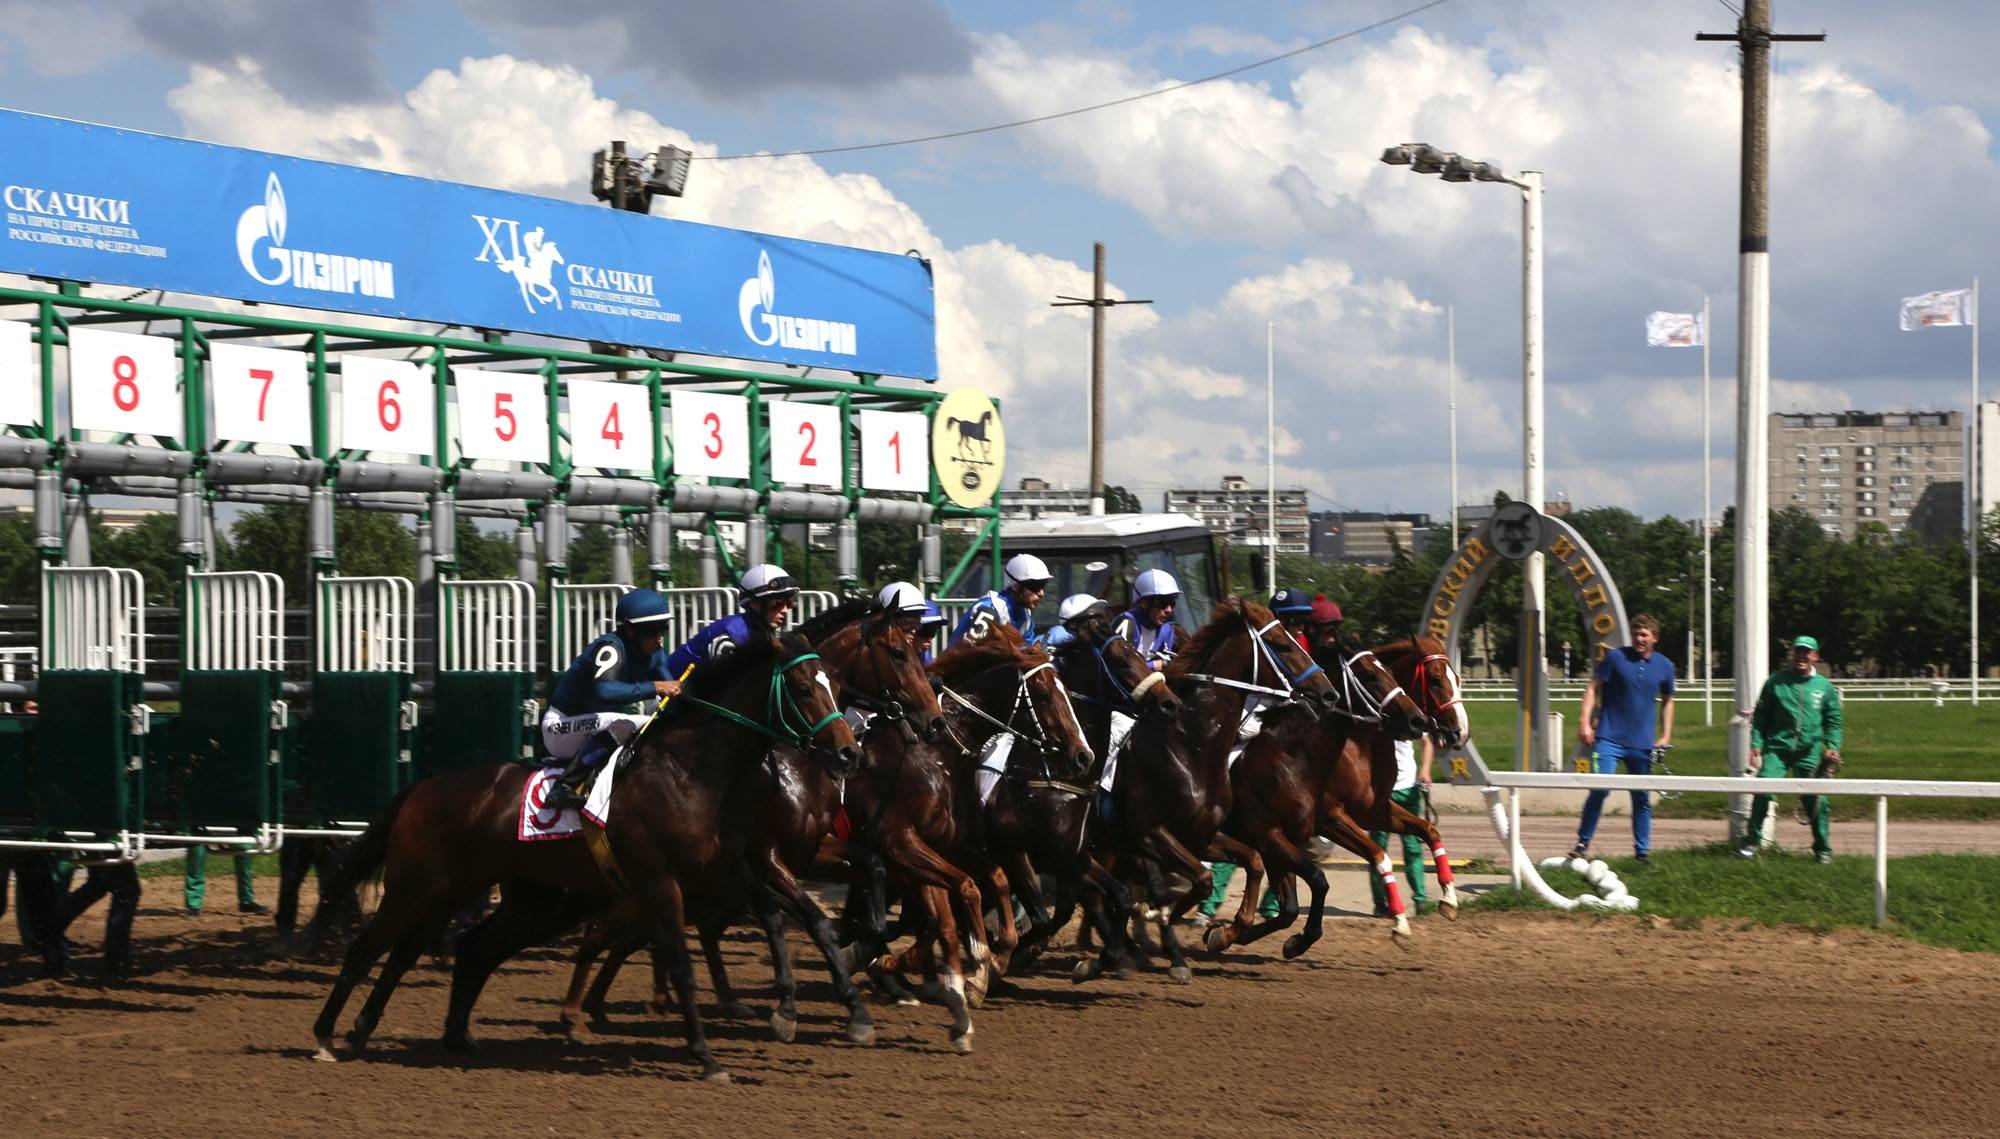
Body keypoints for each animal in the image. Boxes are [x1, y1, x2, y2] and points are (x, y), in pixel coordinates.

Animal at [306, 631, 860, 1079]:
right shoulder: (661, 882)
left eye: (836, 683)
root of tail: (422, 787)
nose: (849, 752)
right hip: (417, 885)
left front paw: (791, 1010)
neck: (690, 772)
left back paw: (422, 1033)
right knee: (368, 949)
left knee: (435, 951)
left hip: (492, 895)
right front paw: (706, 1055)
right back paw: (328, 1035)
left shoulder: (720, 871)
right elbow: (683, 965)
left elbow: (777, 915)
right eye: (805, 689)